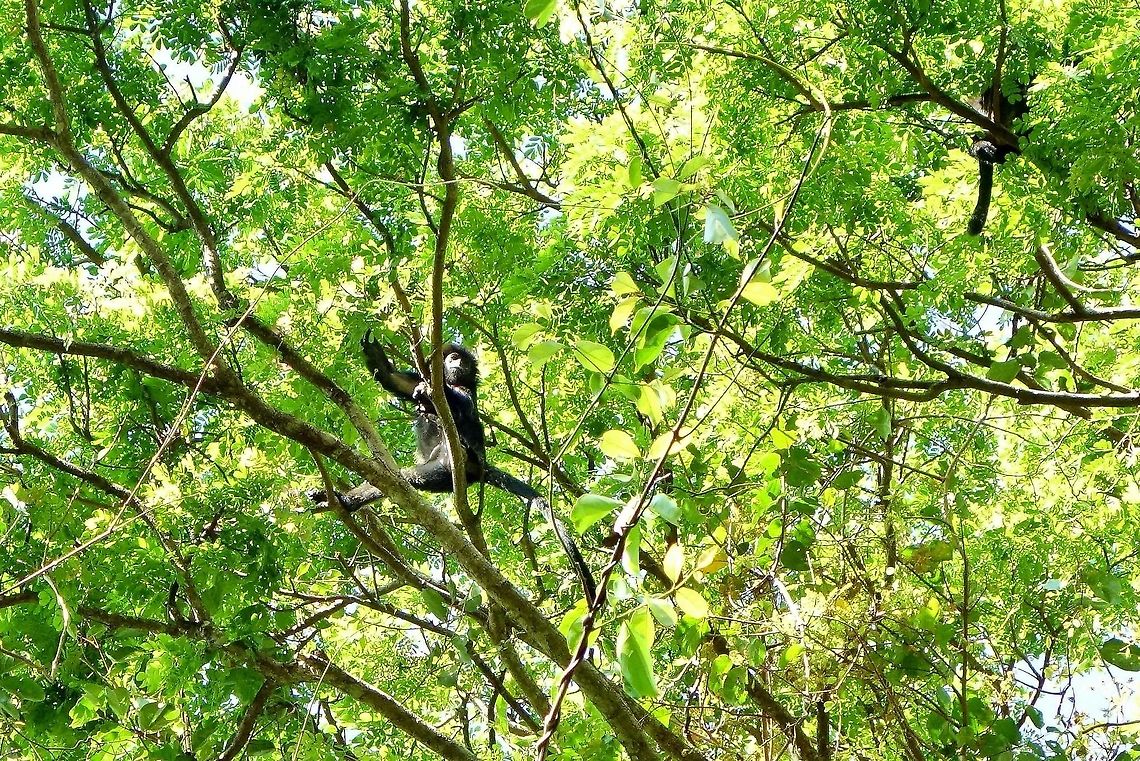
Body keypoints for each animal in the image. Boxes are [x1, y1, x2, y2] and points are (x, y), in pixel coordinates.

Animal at [313, 331, 597, 604]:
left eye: (461, 359)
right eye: (452, 358)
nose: (456, 362)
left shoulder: (464, 390)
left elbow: (461, 404)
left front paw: (432, 395)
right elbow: (391, 378)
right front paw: (373, 350)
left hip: (448, 467)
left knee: (406, 478)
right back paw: (340, 499)